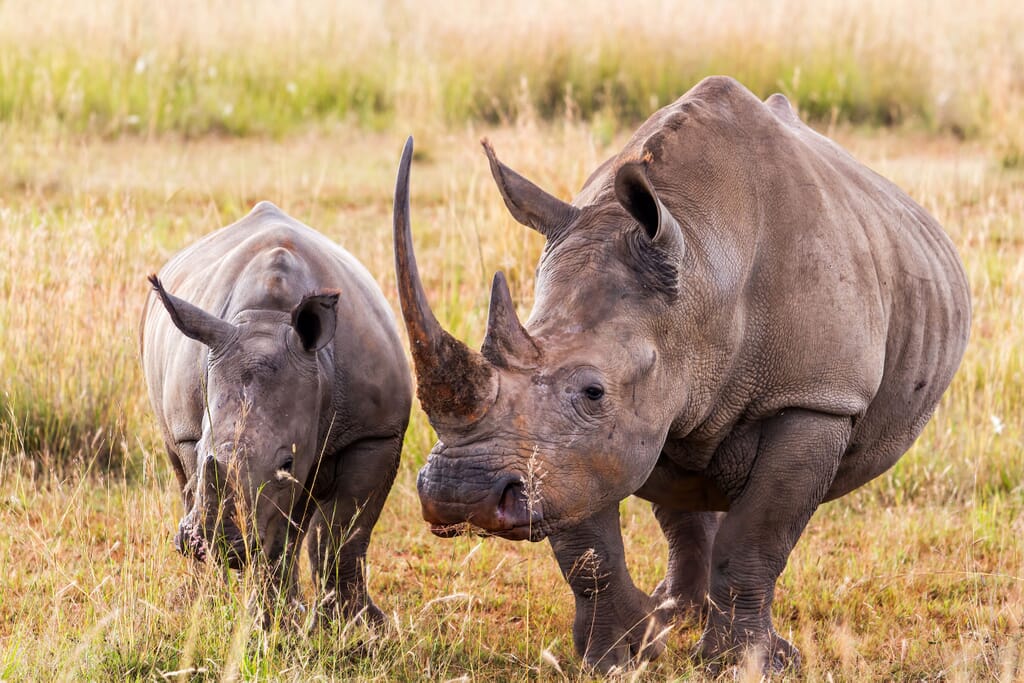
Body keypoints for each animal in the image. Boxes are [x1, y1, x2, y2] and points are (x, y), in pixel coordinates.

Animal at [141, 200, 411, 622]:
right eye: (202, 450)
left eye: (287, 462)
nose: (211, 543)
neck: (268, 320)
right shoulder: (190, 433)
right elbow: (275, 535)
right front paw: (272, 623)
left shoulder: (376, 433)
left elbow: (343, 535)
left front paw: (359, 626)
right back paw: (204, 601)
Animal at [389, 76, 966, 671]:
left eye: (593, 391)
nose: (460, 495)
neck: (704, 273)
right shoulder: (566, 448)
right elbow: (587, 542)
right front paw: (620, 657)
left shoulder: (817, 398)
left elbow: (757, 536)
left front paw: (747, 664)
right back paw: (674, 615)